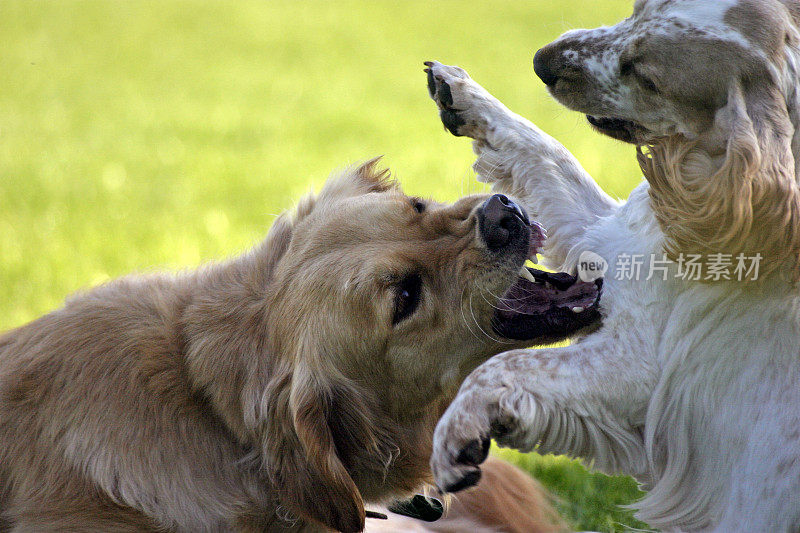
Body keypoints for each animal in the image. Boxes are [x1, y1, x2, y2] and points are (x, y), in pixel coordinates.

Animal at [428, 1, 800, 528]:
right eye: (637, 10)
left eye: (647, 76)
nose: (543, 61)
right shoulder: (608, 240)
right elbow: (546, 152)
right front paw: (460, 92)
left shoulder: (635, 364)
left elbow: (502, 366)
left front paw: (457, 436)